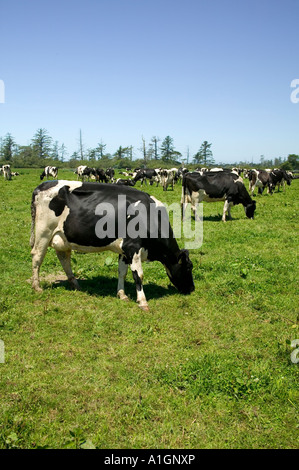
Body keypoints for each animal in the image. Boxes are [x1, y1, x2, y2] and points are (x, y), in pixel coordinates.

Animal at [29, 182, 195, 310]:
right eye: (188, 267)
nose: (192, 289)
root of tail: (41, 186)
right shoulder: (133, 247)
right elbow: (138, 275)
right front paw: (142, 302)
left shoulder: (124, 250)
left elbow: (122, 272)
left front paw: (122, 294)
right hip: (43, 232)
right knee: (37, 257)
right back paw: (37, 287)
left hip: (62, 238)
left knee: (64, 258)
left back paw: (75, 284)